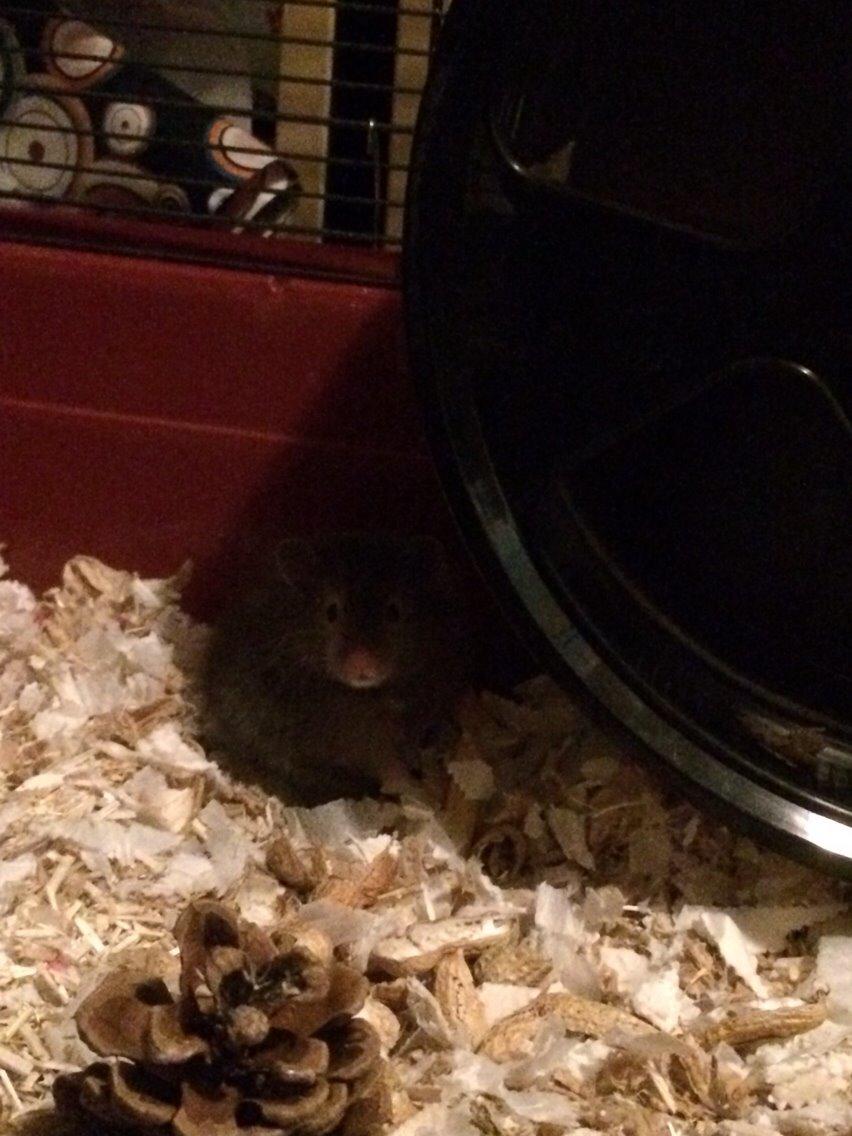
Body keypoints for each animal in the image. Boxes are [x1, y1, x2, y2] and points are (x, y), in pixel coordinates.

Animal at [201, 533, 469, 804]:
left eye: (394, 611)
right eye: (331, 612)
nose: (362, 664)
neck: (372, 693)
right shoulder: (353, 740)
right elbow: (386, 764)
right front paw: (410, 788)